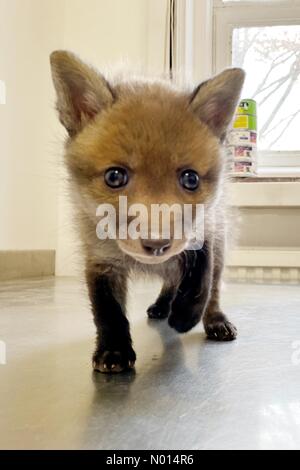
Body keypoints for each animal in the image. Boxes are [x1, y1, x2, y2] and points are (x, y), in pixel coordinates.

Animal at [50, 51, 245, 374]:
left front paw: (185, 317)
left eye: (190, 179)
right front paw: (113, 350)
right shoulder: (100, 258)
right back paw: (163, 306)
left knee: (212, 289)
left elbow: (200, 281)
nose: (157, 244)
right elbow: (108, 311)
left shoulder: (204, 230)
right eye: (114, 176)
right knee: (170, 281)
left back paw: (213, 319)